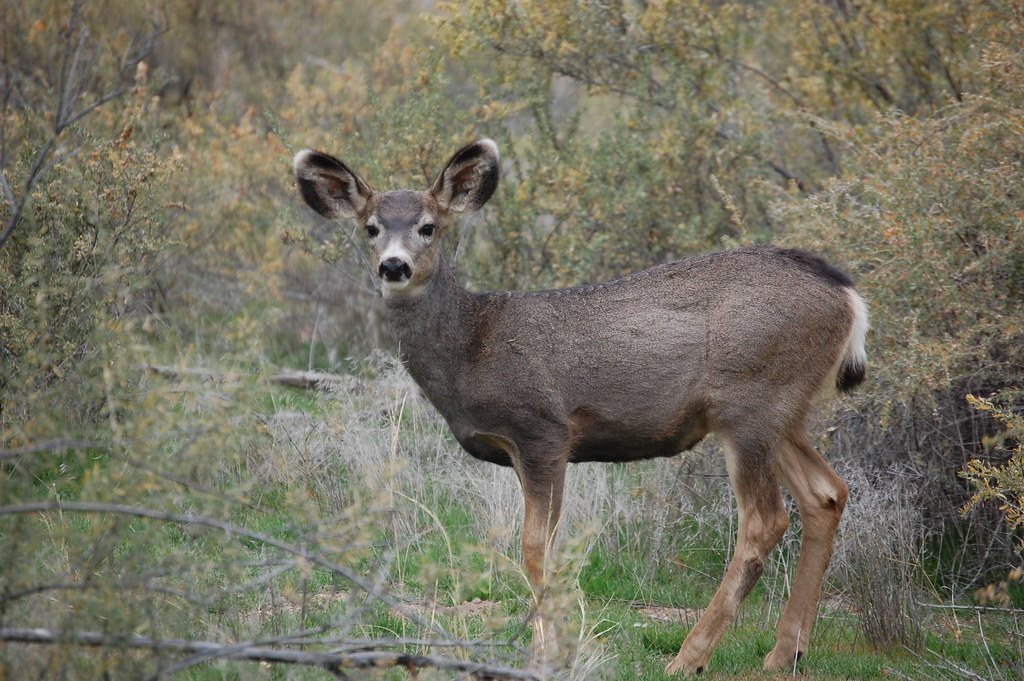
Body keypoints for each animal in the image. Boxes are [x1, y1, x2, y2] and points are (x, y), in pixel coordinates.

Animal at [292, 139, 868, 676]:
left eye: (428, 227)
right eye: (370, 228)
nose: (394, 265)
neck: (472, 348)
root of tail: (848, 296)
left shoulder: (543, 430)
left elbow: (535, 550)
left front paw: (545, 655)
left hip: (749, 401)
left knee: (765, 520)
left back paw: (690, 657)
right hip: (781, 410)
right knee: (826, 494)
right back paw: (785, 653)